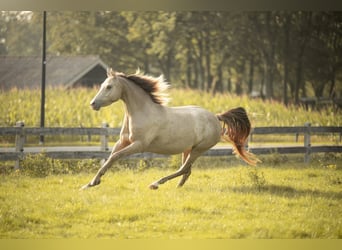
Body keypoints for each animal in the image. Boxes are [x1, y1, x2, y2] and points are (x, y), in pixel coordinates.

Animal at [82, 68, 260, 189]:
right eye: (103, 85)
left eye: (109, 87)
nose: (92, 104)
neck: (142, 112)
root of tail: (216, 117)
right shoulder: (123, 142)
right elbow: (109, 158)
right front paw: (90, 183)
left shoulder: (138, 145)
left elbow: (114, 157)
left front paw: (93, 182)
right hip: (188, 149)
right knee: (187, 171)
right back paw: (177, 187)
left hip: (199, 149)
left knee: (183, 169)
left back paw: (156, 184)